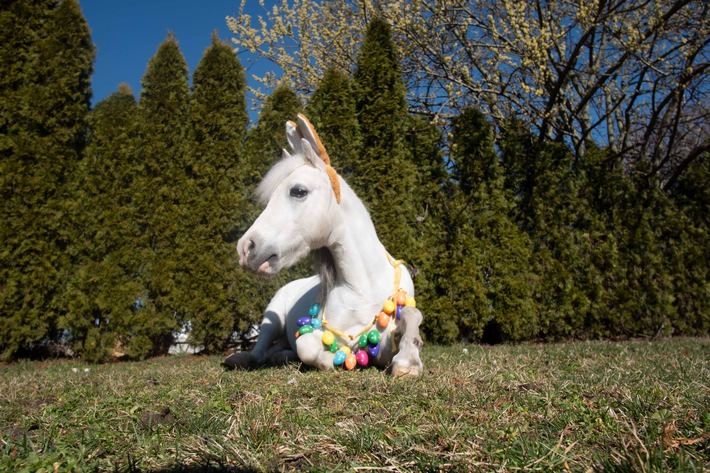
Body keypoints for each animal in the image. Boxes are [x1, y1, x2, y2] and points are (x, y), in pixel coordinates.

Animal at [222, 114, 422, 376]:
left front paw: (409, 361)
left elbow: (411, 313)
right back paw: (241, 359)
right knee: (260, 350)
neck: (363, 288)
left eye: (298, 191)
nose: (246, 248)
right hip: (270, 318)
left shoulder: (384, 345)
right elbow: (306, 345)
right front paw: (330, 360)